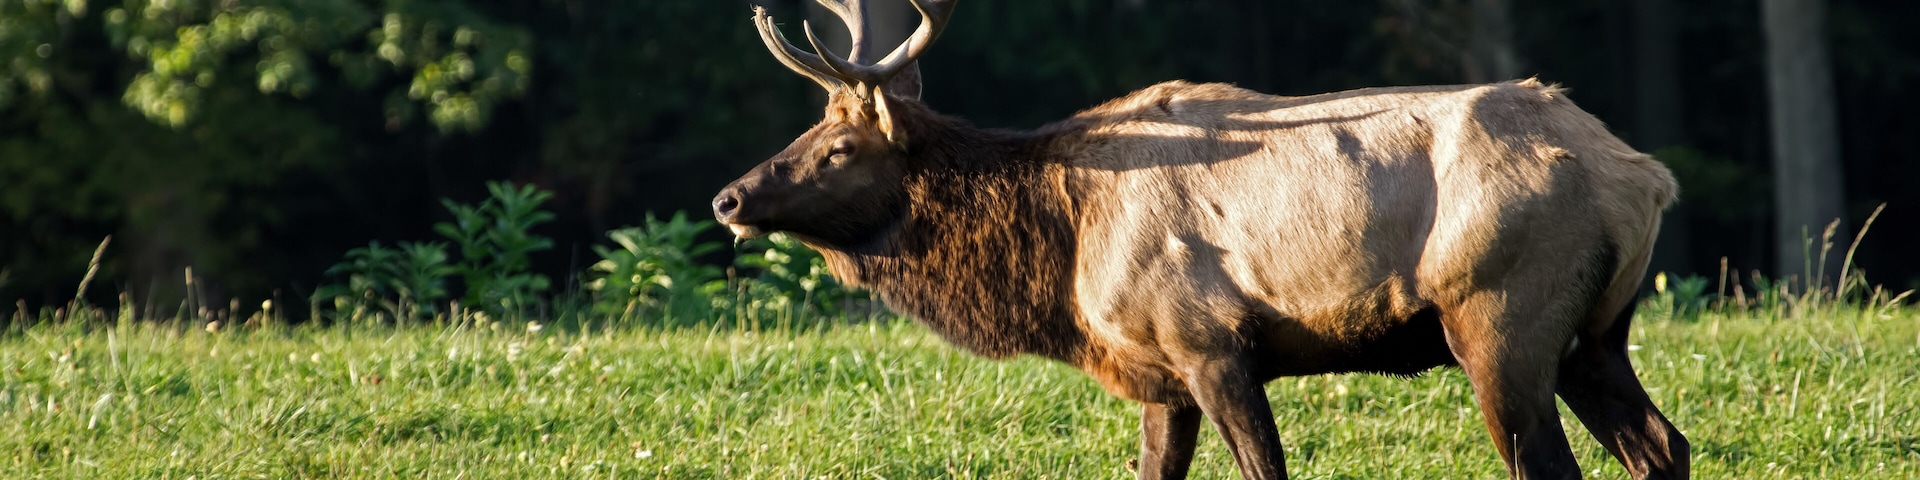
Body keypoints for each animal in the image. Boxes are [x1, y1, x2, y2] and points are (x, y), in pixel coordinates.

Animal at [710, 1, 1689, 478]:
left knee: (1554, 466)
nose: (728, 198)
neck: (1063, 256)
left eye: (839, 147)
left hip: (1500, 318)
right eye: (807, 129)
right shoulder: (1159, 373)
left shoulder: (1210, 342)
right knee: (1663, 448)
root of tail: (1647, 177)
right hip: (1595, 336)